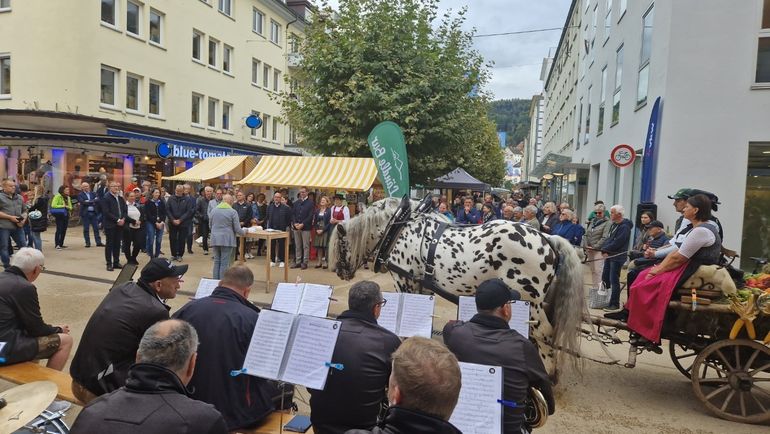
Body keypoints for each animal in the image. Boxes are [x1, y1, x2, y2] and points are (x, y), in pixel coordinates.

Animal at [328, 197, 584, 380]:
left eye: (340, 245)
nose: (339, 272)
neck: (399, 228)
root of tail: (548, 239)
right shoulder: (422, 286)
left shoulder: (404, 281)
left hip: (529, 301)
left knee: (546, 333)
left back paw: (548, 373)